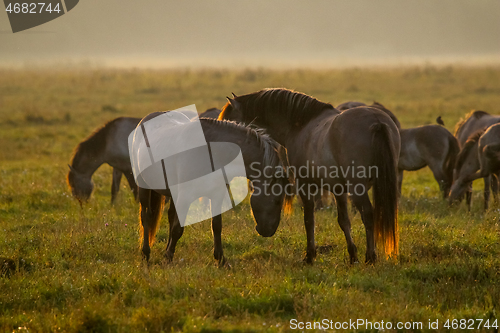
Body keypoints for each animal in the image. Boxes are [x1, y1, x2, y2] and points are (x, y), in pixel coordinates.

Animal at [67, 107, 221, 204]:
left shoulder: (128, 168)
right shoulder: (117, 167)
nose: (82, 204)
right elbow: (114, 189)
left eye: (74, 185)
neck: (108, 139)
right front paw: (112, 206)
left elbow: (133, 188)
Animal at [133, 114, 292, 264]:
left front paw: (220, 259)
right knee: (146, 216)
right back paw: (146, 253)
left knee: (170, 215)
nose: (269, 231)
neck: (212, 153)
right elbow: (178, 229)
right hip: (144, 188)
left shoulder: (216, 195)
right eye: (278, 201)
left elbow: (216, 226)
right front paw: (168, 259)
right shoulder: (185, 197)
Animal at [221, 89, 400, 264]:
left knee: (368, 215)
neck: (301, 125)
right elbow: (344, 221)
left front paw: (310, 255)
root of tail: (377, 122)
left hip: (358, 189)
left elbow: (309, 220)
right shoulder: (339, 189)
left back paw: (370, 257)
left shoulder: (305, 184)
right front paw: (352, 256)